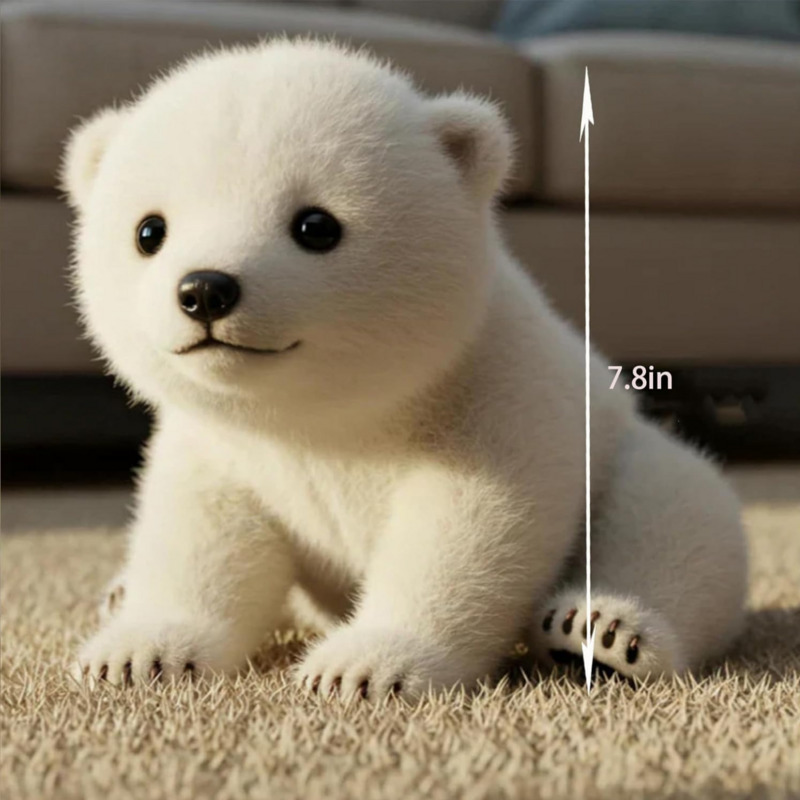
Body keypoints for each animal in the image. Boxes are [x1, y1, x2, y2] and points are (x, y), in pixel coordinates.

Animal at [63, 40, 747, 699]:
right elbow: (203, 531)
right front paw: (139, 652)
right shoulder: (224, 444)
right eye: (149, 231)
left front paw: (363, 667)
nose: (205, 290)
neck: (326, 417)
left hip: (618, 454)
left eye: (316, 225)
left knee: (674, 517)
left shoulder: (493, 390)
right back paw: (119, 593)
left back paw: (600, 632)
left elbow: (467, 527)